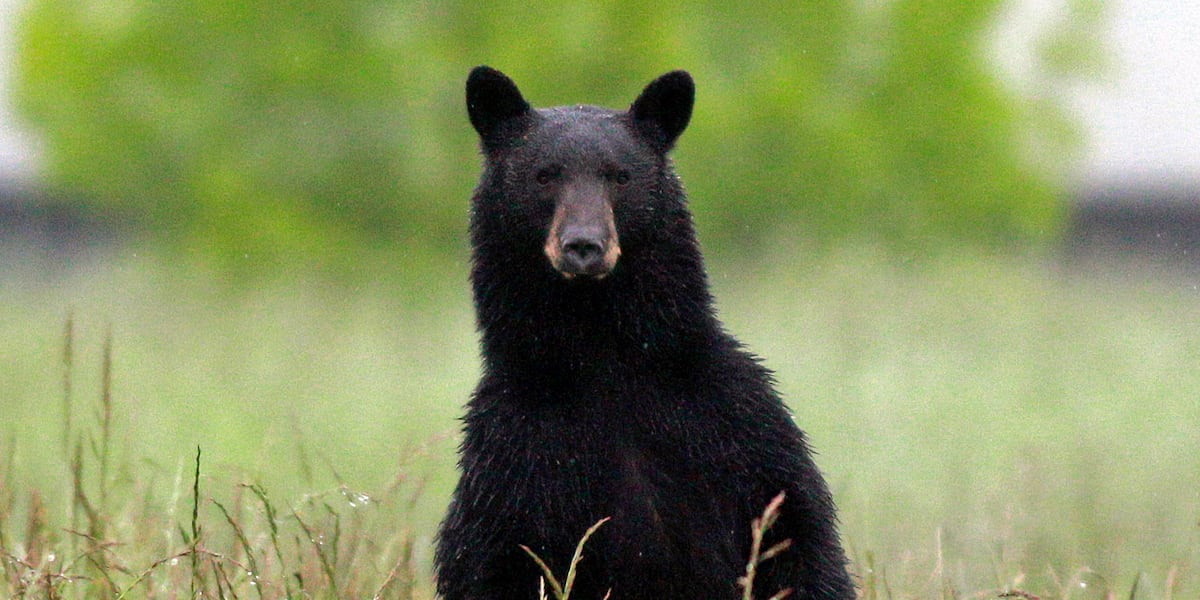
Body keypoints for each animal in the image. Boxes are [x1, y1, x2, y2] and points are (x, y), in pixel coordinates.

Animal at [434, 66, 855, 600]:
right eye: (544, 174)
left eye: (620, 175)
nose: (584, 246)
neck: (605, 359)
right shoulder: (514, 456)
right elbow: (490, 563)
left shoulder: (738, 427)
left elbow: (800, 543)